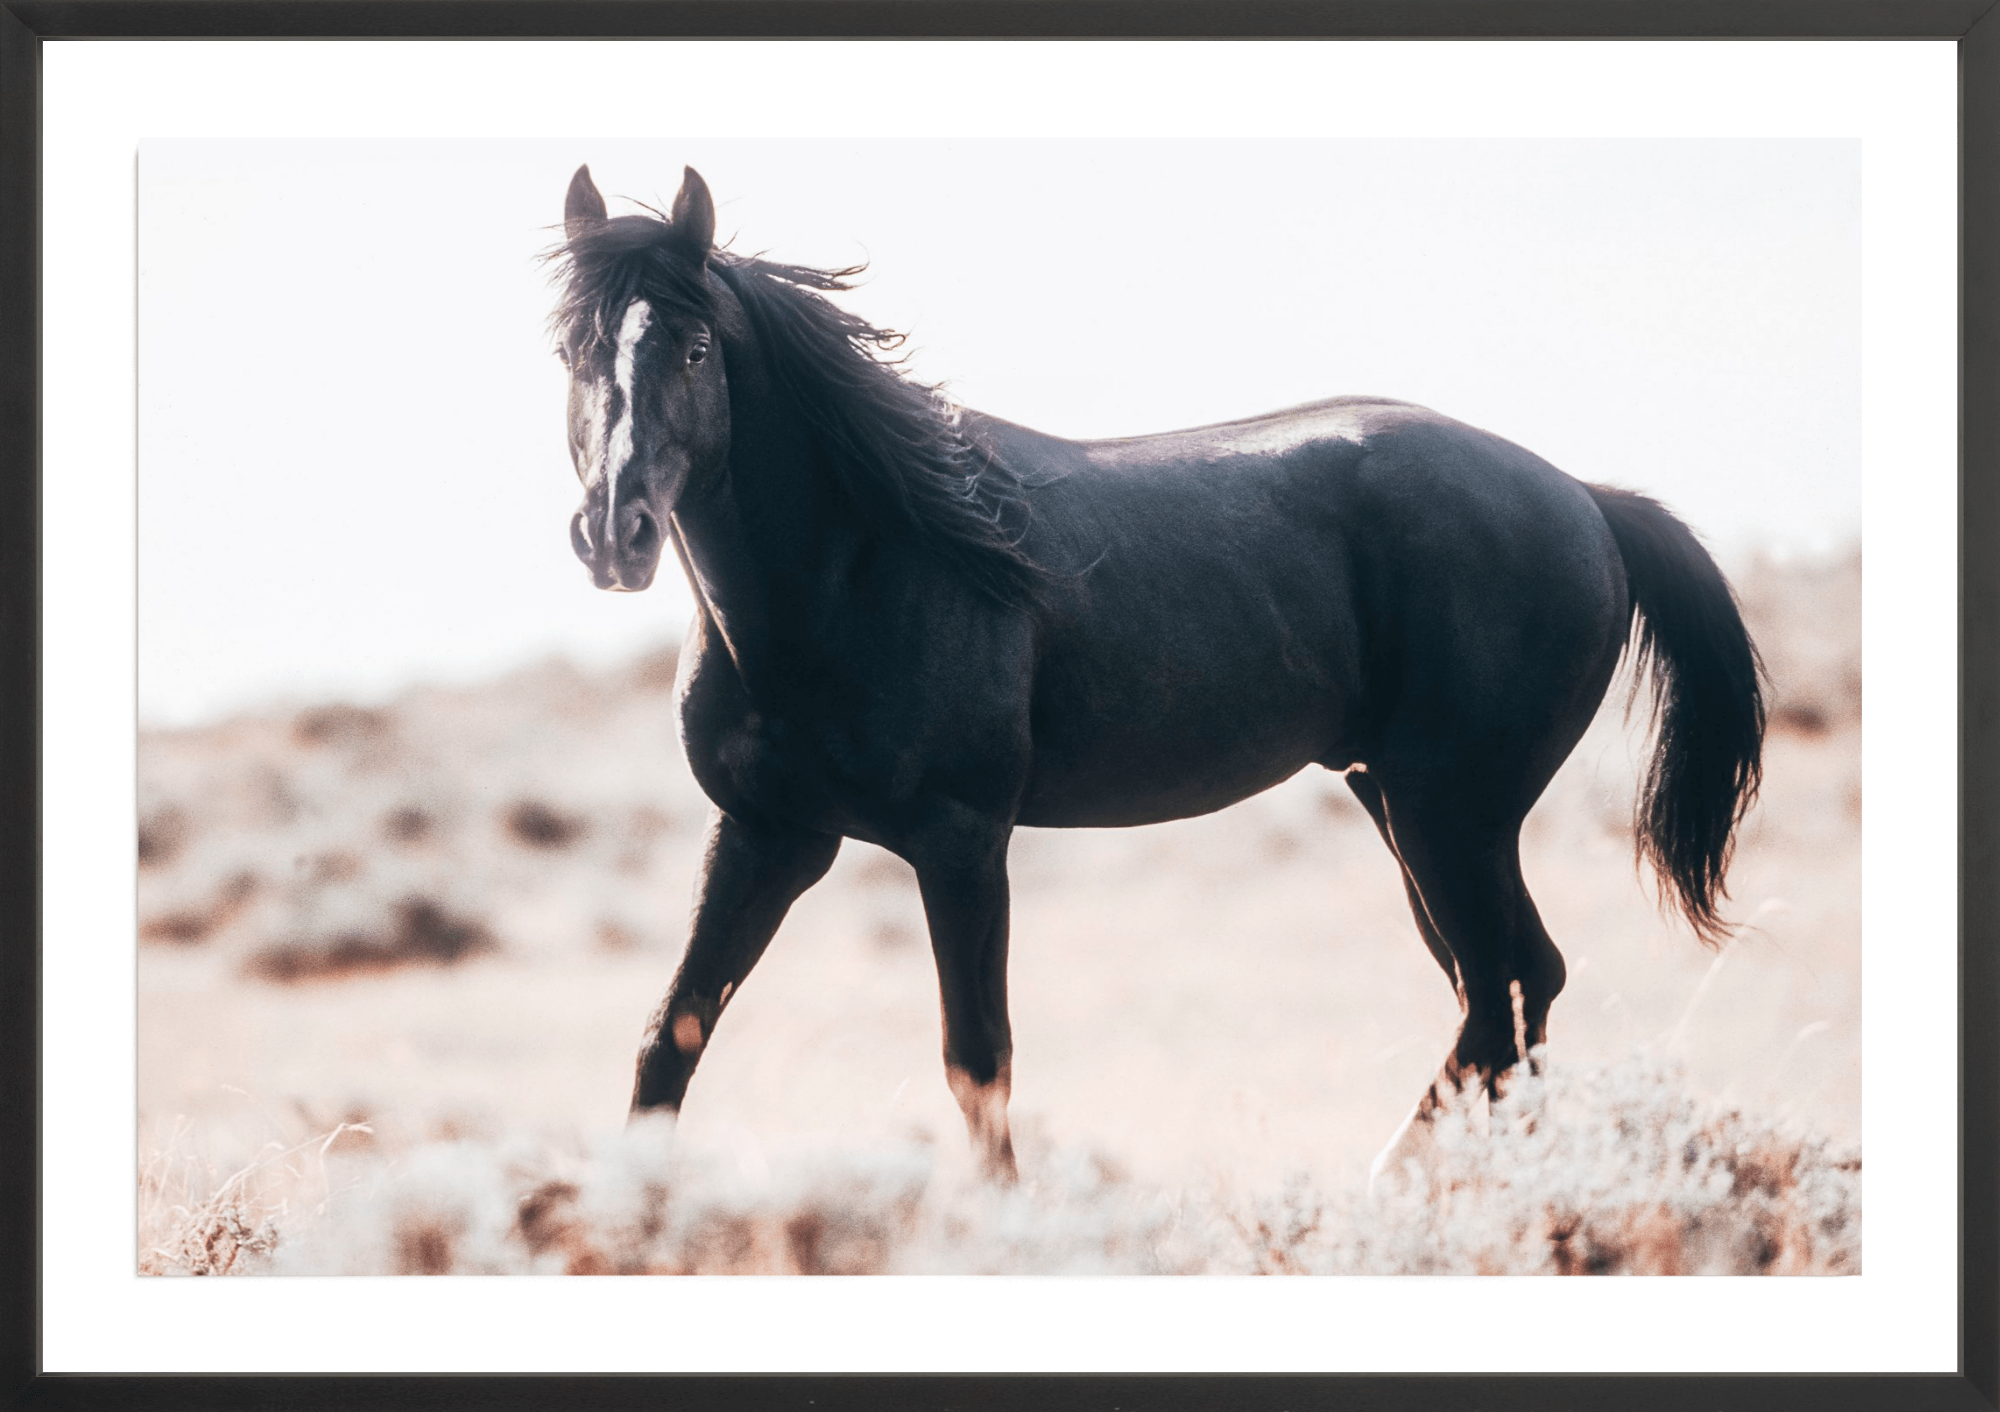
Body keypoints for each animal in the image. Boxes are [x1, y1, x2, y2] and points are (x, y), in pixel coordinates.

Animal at [548, 165, 1765, 1185]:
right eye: (571, 354)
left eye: (694, 350)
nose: (615, 534)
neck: (861, 562)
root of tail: (1585, 498)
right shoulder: (767, 835)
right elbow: (669, 1038)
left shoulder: (960, 840)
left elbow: (976, 1060)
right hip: (1401, 804)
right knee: (1503, 996)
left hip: (1449, 813)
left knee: (1508, 992)